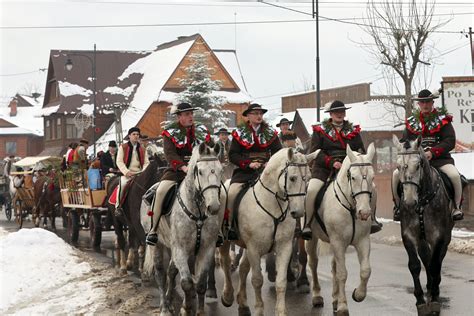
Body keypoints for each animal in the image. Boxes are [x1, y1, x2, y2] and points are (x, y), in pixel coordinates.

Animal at [142, 144, 225, 316]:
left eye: (220, 170)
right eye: (200, 171)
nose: (214, 207)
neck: (198, 212)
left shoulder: (206, 249)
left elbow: (200, 283)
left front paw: (199, 311)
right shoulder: (181, 250)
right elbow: (186, 283)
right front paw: (186, 308)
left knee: (171, 272)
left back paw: (169, 301)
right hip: (158, 245)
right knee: (161, 274)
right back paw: (164, 308)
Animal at [220, 149, 320, 316]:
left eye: (308, 179)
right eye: (292, 178)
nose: (299, 212)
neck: (272, 205)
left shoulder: (284, 247)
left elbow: (281, 282)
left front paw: (281, 311)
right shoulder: (254, 249)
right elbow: (257, 280)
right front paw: (259, 310)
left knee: (243, 268)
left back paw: (243, 304)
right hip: (226, 241)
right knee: (225, 263)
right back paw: (227, 296)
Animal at [306, 144, 376, 316]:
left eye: (372, 178)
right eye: (353, 177)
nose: (364, 213)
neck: (351, 207)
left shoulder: (362, 241)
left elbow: (365, 270)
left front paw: (358, 294)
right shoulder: (338, 242)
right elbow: (342, 274)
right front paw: (343, 307)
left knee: (333, 266)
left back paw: (335, 299)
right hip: (312, 239)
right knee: (313, 263)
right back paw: (317, 296)